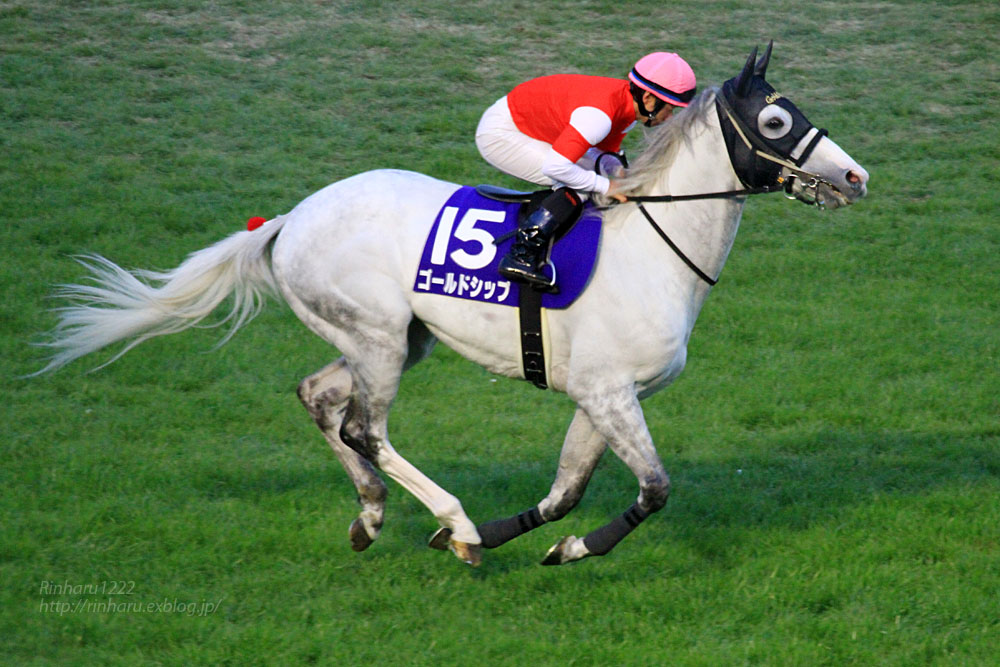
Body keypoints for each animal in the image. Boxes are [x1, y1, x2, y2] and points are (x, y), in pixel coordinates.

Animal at [34, 44, 868, 566]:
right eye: (776, 121)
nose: (856, 176)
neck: (654, 249)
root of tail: (291, 218)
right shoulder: (609, 392)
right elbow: (654, 488)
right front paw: (519, 541)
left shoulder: (599, 395)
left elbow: (564, 493)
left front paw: (533, 540)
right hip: (376, 335)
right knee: (365, 427)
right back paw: (452, 517)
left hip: (397, 337)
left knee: (319, 397)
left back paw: (375, 515)